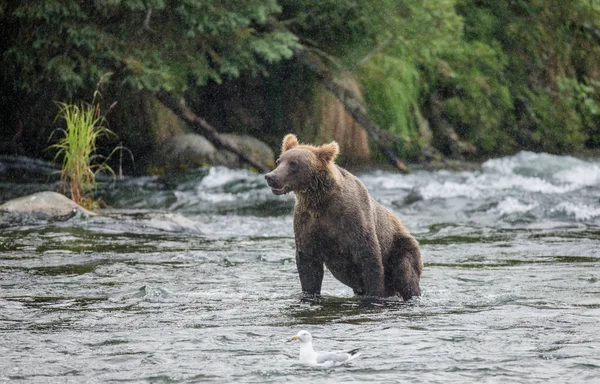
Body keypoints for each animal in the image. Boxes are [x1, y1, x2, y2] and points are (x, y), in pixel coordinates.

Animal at [264, 134, 424, 300]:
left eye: (294, 163)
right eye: (279, 161)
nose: (270, 176)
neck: (320, 202)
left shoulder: (353, 221)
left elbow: (370, 259)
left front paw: (374, 295)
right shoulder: (307, 222)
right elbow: (308, 265)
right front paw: (309, 293)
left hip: (402, 247)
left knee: (405, 274)